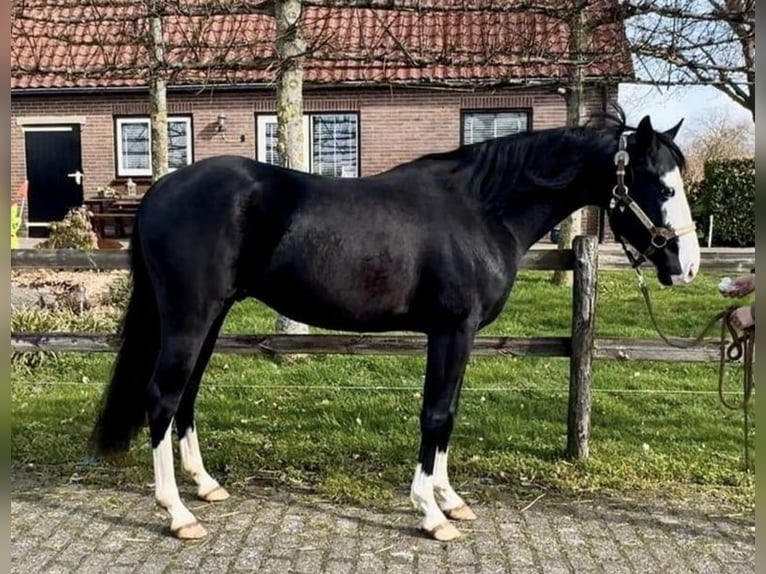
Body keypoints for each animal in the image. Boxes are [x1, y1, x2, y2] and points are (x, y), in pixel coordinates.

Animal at [90, 106, 700, 542]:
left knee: (186, 397)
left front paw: (451, 499)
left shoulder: (461, 336)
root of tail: (159, 191)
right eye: (663, 187)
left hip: (212, 316)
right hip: (190, 316)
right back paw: (176, 514)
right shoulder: (452, 330)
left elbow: (448, 415)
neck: (482, 209)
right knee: (163, 398)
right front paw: (431, 513)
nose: (687, 265)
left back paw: (206, 487)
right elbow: (436, 415)